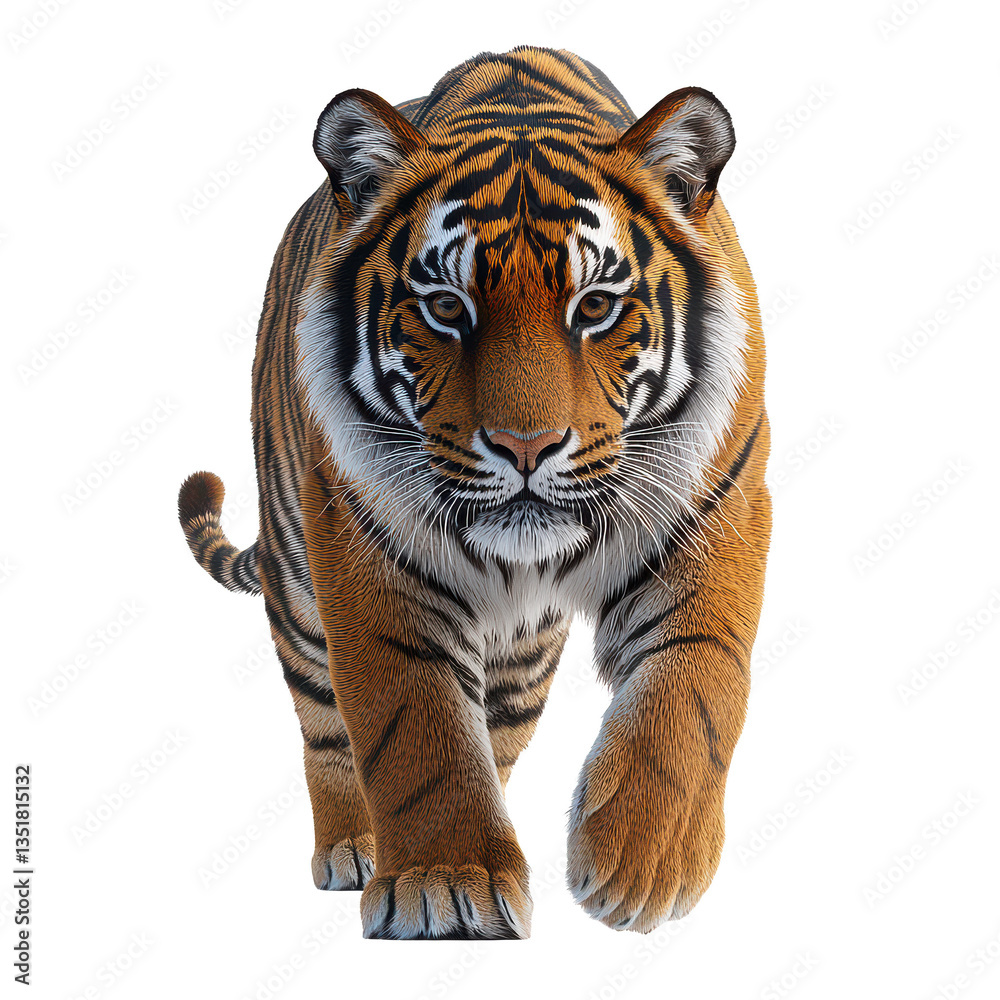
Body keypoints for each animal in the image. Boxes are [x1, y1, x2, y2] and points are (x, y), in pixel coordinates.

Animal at [177, 45, 771, 939]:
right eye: (445, 307)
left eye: (596, 305)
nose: (526, 447)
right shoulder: (365, 550)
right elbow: (413, 724)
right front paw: (444, 885)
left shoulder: (717, 511)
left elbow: (693, 686)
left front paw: (641, 866)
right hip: (298, 583)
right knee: (325, 725)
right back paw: (353, 846)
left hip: (523, 656)